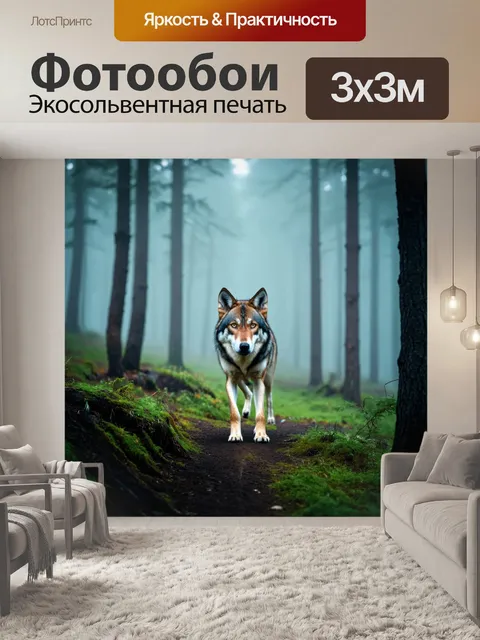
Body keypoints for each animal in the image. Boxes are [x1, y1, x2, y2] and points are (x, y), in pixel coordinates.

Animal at [214, 287, 277, 443]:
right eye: (234, 325)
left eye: (253, 325)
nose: (244, 346)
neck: (243, 362)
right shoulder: (230, 380)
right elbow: (234, 413)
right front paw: (235, 435)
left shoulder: (258, 380)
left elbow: (260, 414)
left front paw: (261, 435)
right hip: (239, 379)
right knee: (249, 393)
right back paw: (246, 411)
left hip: (267, 379)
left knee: (269, 398)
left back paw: (270, 419)